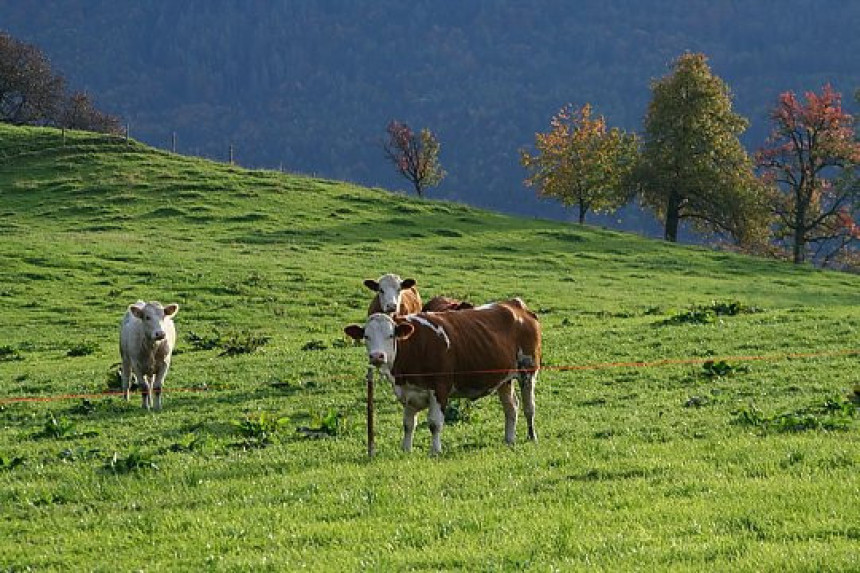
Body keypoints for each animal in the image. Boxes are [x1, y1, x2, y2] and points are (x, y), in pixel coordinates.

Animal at [342, 300, 536, 452]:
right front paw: (406, 450)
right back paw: (509, 439)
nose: (377, 356)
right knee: (511, 407)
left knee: (529, 407)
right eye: (366, 336)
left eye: (391, 335)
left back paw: (531, 436)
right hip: (504, 379)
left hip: (528, 370)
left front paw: (435, 451)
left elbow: (434, 423)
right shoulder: (408, 392)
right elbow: (408, 424)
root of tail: (515, 304)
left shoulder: (440, 388)